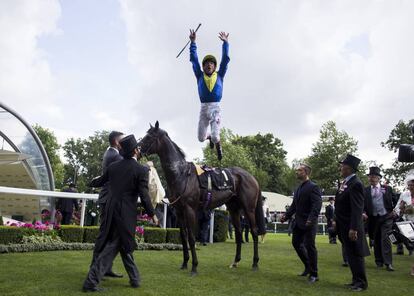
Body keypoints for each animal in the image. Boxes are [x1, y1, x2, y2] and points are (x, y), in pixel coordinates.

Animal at [137, 122, 264, 276]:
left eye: (150, 137)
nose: (137, 149)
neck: (182, 174)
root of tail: (252, 177)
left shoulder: (190, 210)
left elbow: (192, 237)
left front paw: (194, 266)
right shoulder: (179, 211)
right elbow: (183, 236)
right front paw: (185, 263)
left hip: (249, 209)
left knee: (254, 231)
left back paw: (255, 263)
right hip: (234, 209)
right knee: (239, 233)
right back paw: (235, 262)